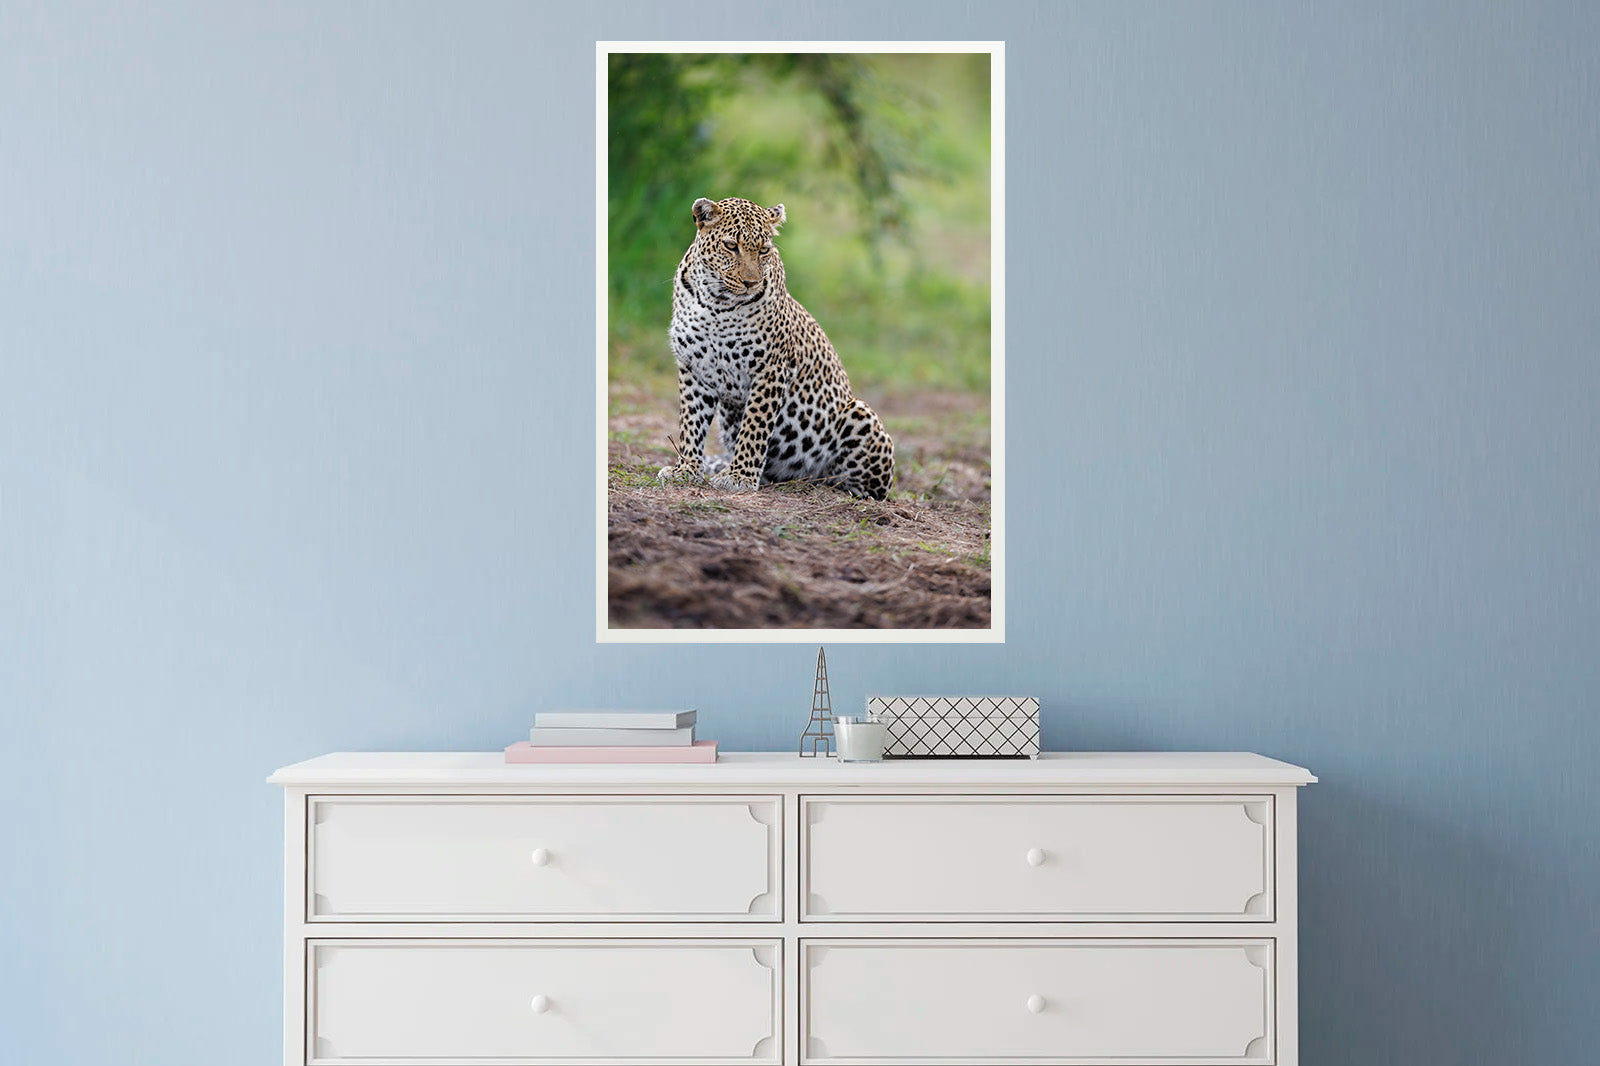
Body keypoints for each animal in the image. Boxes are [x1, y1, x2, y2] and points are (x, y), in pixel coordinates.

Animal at [656, 196, 895, 501]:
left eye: (764, 250)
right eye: (731, 246)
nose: (751, 283)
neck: (716, 303)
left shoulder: (771, 369)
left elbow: (755, 427)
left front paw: (739, 477)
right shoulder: (694, 368)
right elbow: (691, 424)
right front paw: (685, 470)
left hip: (860, 414)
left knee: (866, 486)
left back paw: (832, 488)